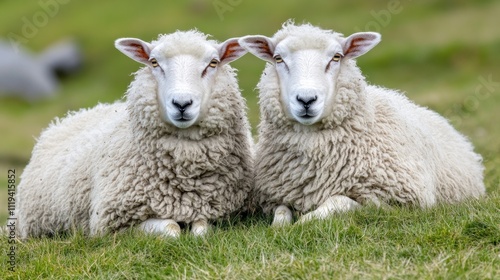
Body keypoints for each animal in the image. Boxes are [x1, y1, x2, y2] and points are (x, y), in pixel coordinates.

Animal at [16, 29, 254, 237]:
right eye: (154, 62)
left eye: (213, 63)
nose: (182, 103)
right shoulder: (111, 224)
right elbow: (172, 229)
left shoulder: (215, 211)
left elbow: (201, 230)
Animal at [238, 21, 484, 226]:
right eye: (278, 58)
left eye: (336, 57)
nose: (306, 99)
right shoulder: (275, 195)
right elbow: (280, 214)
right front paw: (281, 227)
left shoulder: (397, 201)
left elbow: (339, 200)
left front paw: (304, 222)